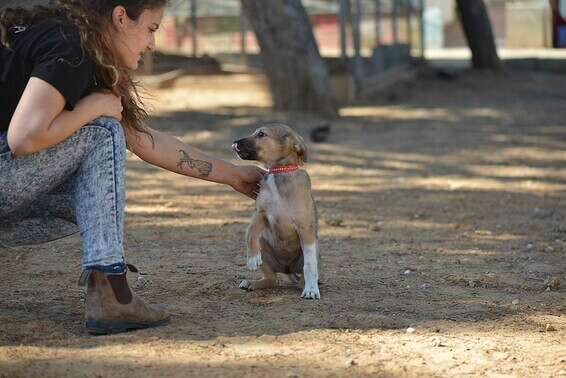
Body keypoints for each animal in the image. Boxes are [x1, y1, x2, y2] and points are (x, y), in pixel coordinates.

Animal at [233, 124, 322, 298]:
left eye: (261, 134)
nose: (235, 143)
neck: (279, 173)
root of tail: (287, 270)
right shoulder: (261, 213)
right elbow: (250, 232)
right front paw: (252, 258)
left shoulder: (305, 228)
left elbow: (309, 265)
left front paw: (311, 290)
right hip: (265, 246)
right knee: (272, 279)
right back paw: (253, 283)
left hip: (315, 249)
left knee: (304, 273)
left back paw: (307, 285)